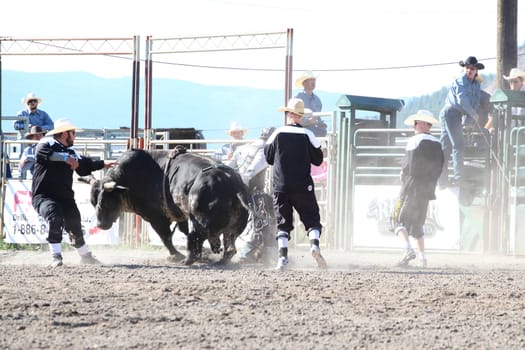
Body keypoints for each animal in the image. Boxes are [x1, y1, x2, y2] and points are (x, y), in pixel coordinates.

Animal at [90, 148, 252, 266]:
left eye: (106, 202)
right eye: (93, 202)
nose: (99, 224)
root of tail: (232, 183)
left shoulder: (155, 217)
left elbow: (166, 237)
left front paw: (175, 255)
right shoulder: (180, 215)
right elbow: (181, 230)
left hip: (199, 220)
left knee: (195, 239)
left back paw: (187, 260)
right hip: (233, 228)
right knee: (229, 247)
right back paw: (219, 261)